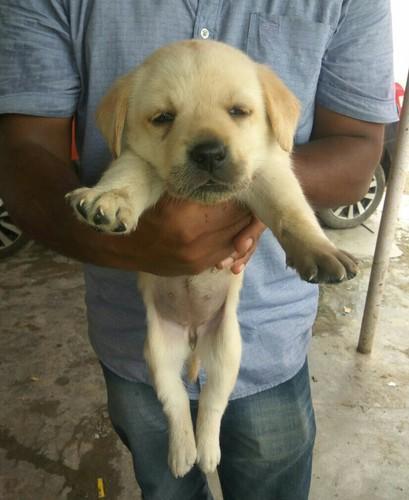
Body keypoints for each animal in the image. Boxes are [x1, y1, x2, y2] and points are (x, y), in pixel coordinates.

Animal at [65, 39, 356, 476]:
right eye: (163, 118)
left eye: (238, 111)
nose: (208, 153)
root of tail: (192, 335)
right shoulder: (138, 158)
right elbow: (129, 175)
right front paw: (110, 199)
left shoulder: (268, 169)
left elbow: (291, 211)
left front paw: (319, 249)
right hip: (157, 354)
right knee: (175, 404)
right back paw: (184, 454)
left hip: (227, 352)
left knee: (214, 405)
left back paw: (208, 451)